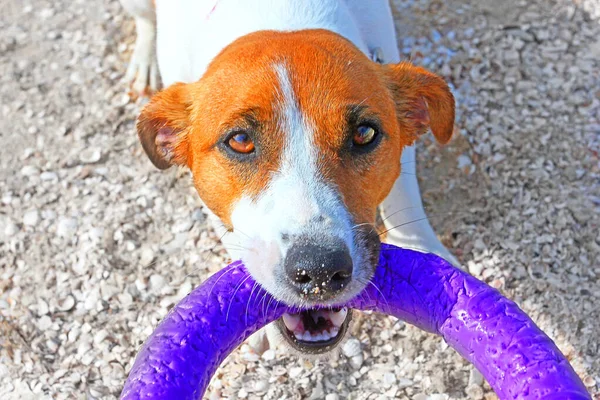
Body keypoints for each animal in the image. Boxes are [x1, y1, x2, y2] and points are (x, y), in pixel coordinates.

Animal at [119, 0, 460, 356]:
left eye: (365, 134)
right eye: (240, 140)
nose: (319, 269)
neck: (281, 14)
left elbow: (403, 195)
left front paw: (426, 251)